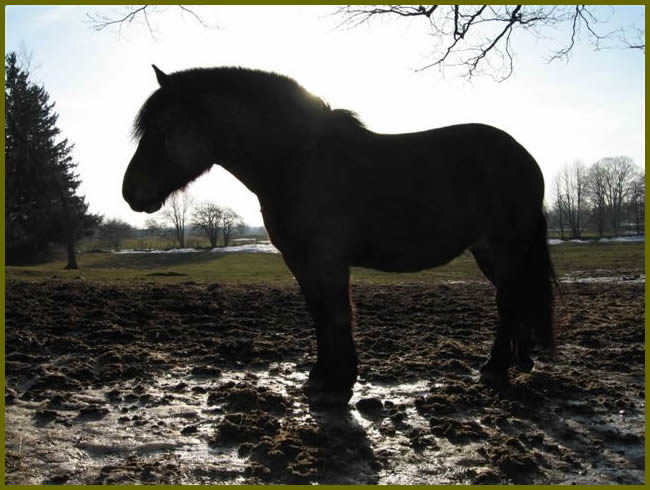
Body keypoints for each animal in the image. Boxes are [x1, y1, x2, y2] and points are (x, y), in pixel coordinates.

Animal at [122, 65, 556, 405]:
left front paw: (339, 384)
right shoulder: (300, 261)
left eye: (164, 127)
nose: (130, 193)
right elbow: (319, 314)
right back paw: (520, 360)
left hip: (505, 249)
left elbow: (335, 314)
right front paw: (321, 377)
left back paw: (495, 368)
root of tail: (524, 157)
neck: (297, 159)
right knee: (515, 301)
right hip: (489, 254)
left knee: (507, 302)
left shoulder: (325, 259)